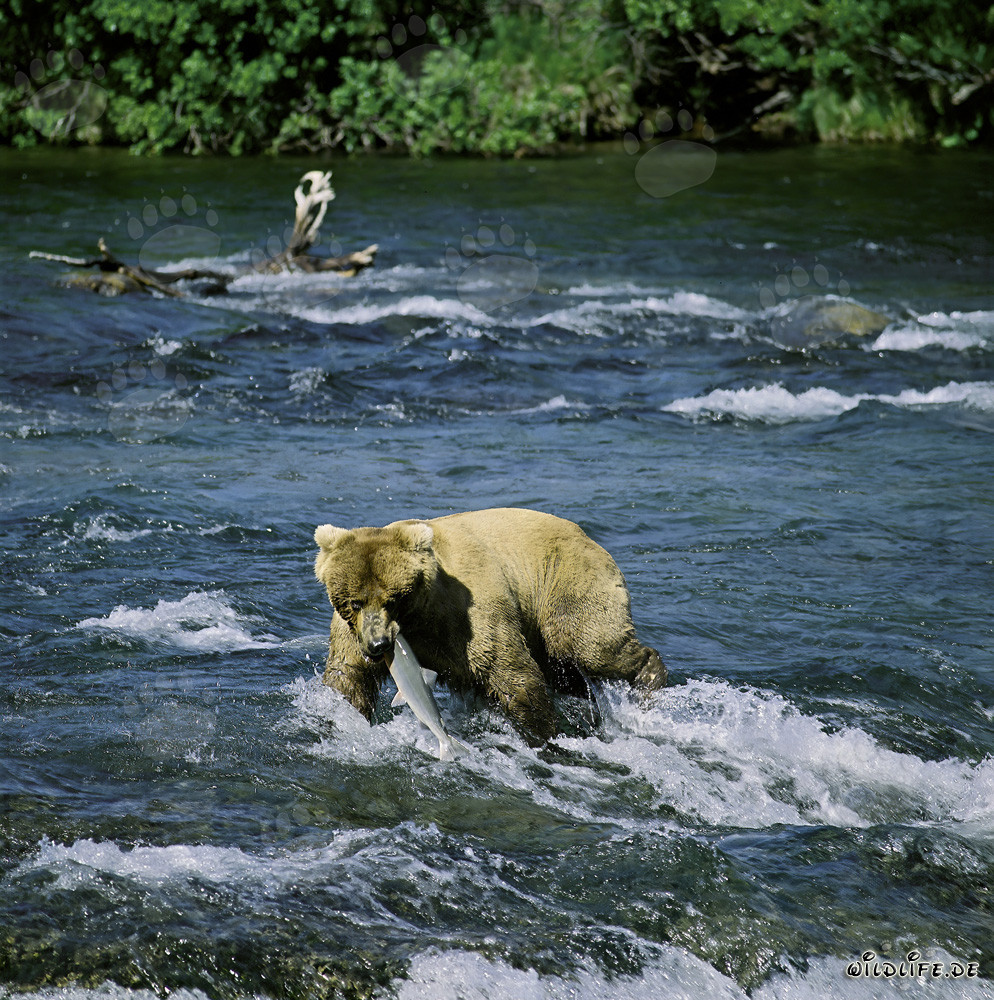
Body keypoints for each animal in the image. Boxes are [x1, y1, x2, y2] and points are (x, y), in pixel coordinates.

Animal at [313, 507, 666, 744]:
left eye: (393, 599)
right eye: (355, 601)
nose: (379, 645)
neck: (420, 620)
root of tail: (590, 537)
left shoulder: (468, 615)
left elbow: (513, 675)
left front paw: (543, 735)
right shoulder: (351, 632)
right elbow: (348, 678)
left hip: (566, 582)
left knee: (588, 646)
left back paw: (648, 680)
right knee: (563, 670)